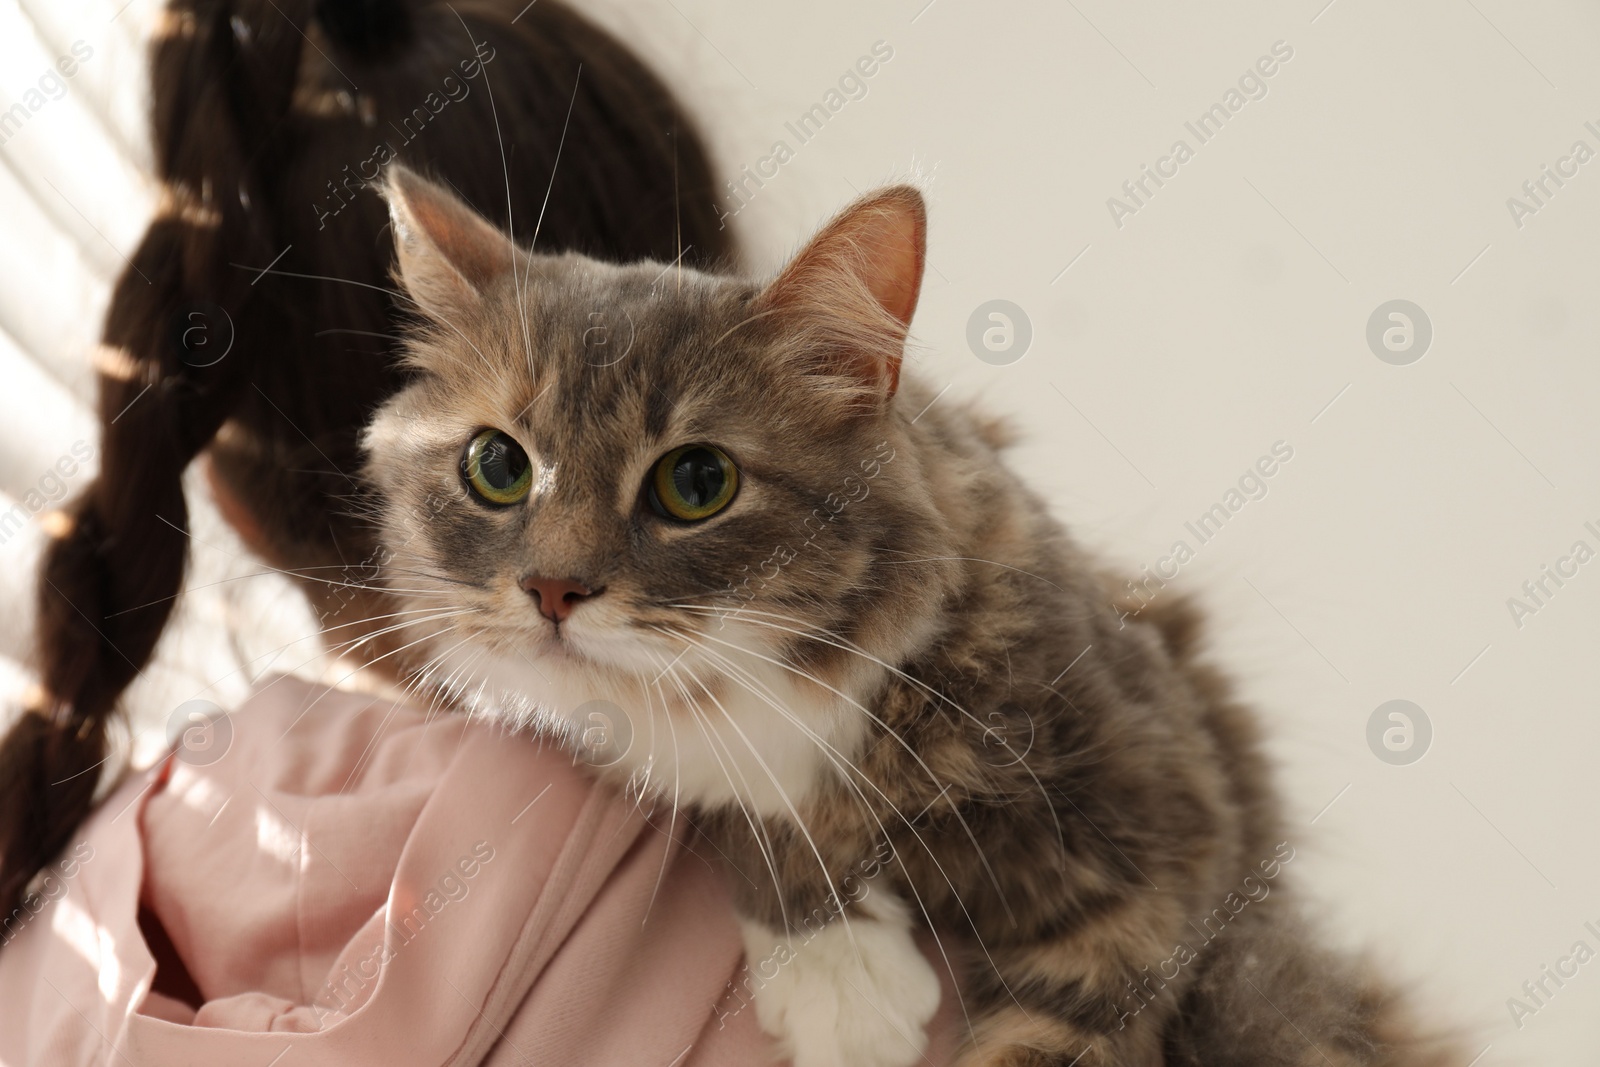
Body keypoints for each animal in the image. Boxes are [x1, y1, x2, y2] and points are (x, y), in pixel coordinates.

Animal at [360, 167, 1452, 1067]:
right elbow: (742, 812)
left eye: (696, 483)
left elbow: (1061, 1032)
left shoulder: (1171, 834)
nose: (552, 589)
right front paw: (840, 975)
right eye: (497, 466)